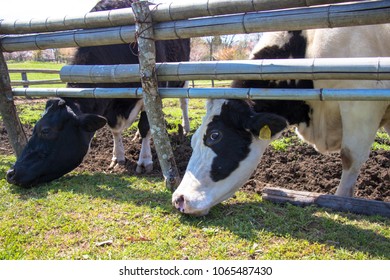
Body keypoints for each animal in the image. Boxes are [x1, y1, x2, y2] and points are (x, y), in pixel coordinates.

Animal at [4, 0, 190, 188]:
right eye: (35, 128)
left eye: (46, 130)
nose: (10, 173)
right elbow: (114, 130)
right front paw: (117, 157)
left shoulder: (149, 88)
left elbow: (145, 125)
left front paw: (144, 161)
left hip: (182, 76)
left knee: (183, 103)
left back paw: (185, 127)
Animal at [173, 25, 390, 215]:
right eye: (192, 140)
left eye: (215, 136)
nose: (179, 199)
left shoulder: (362, 103)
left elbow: (350, 157)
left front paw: (341, 201)